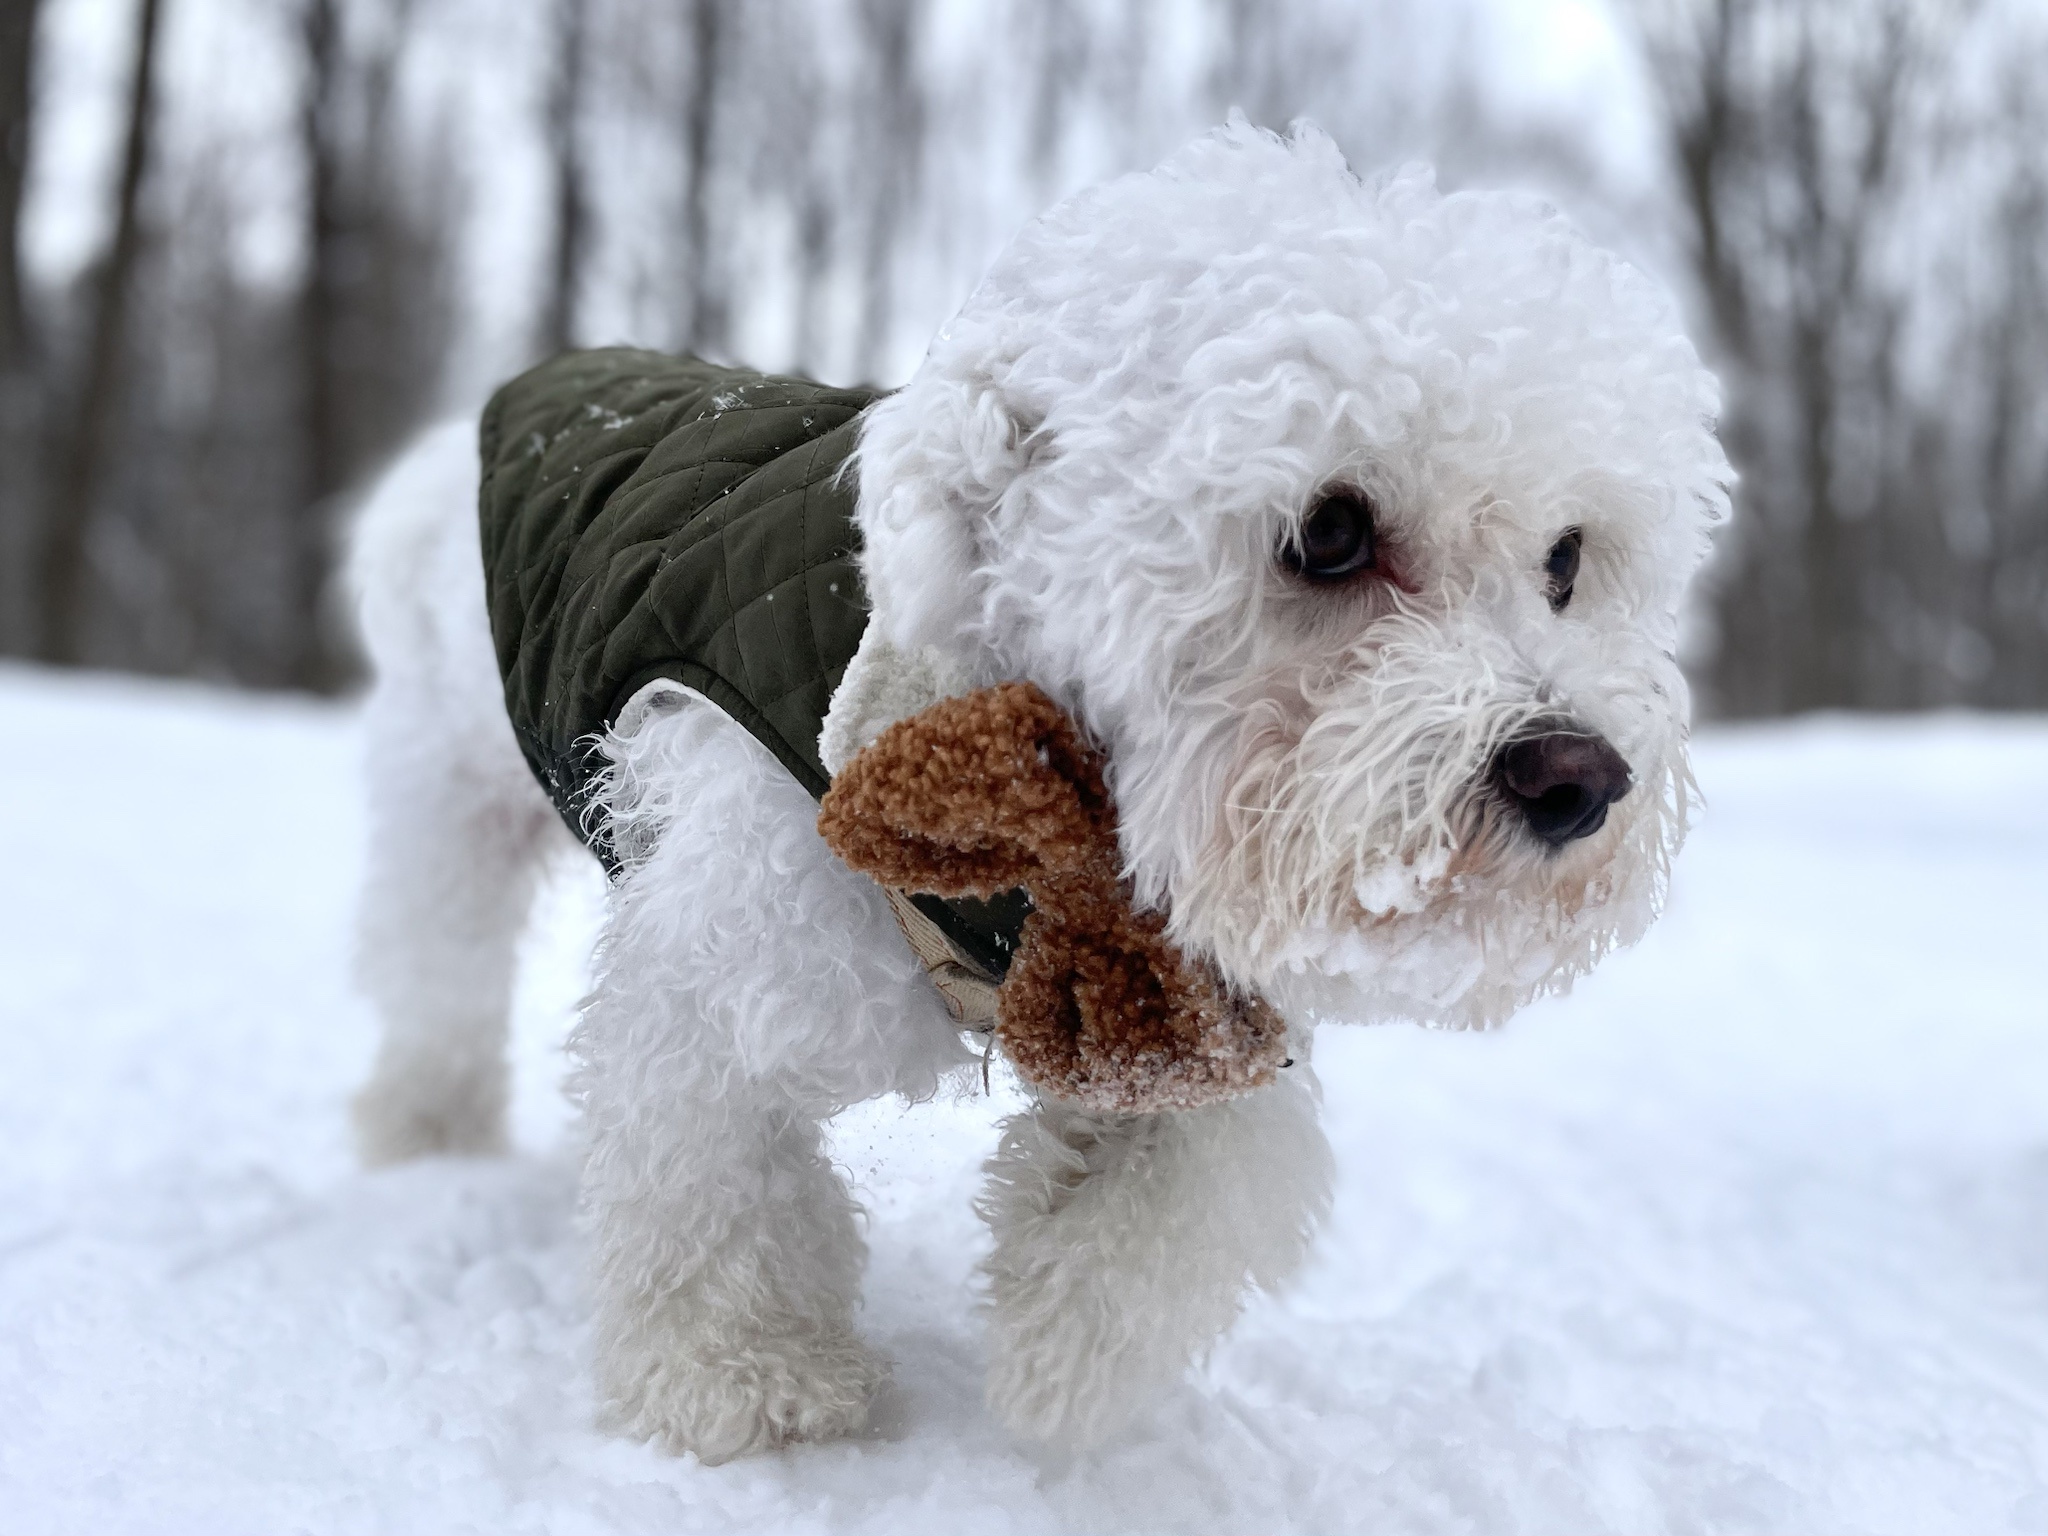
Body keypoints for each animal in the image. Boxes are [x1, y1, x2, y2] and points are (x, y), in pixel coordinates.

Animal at [348, 123, 1728, 1466]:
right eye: (1329, 533)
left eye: (1565, 561)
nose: (1577, 778)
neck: (1056, 835)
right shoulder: (720, 973)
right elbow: (717, 1183)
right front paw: (745, 1379)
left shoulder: (1189, 1006)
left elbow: (1177, 1194)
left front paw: (1063, 1358)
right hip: (445, 795)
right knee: (434, 973)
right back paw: (425, 1135)